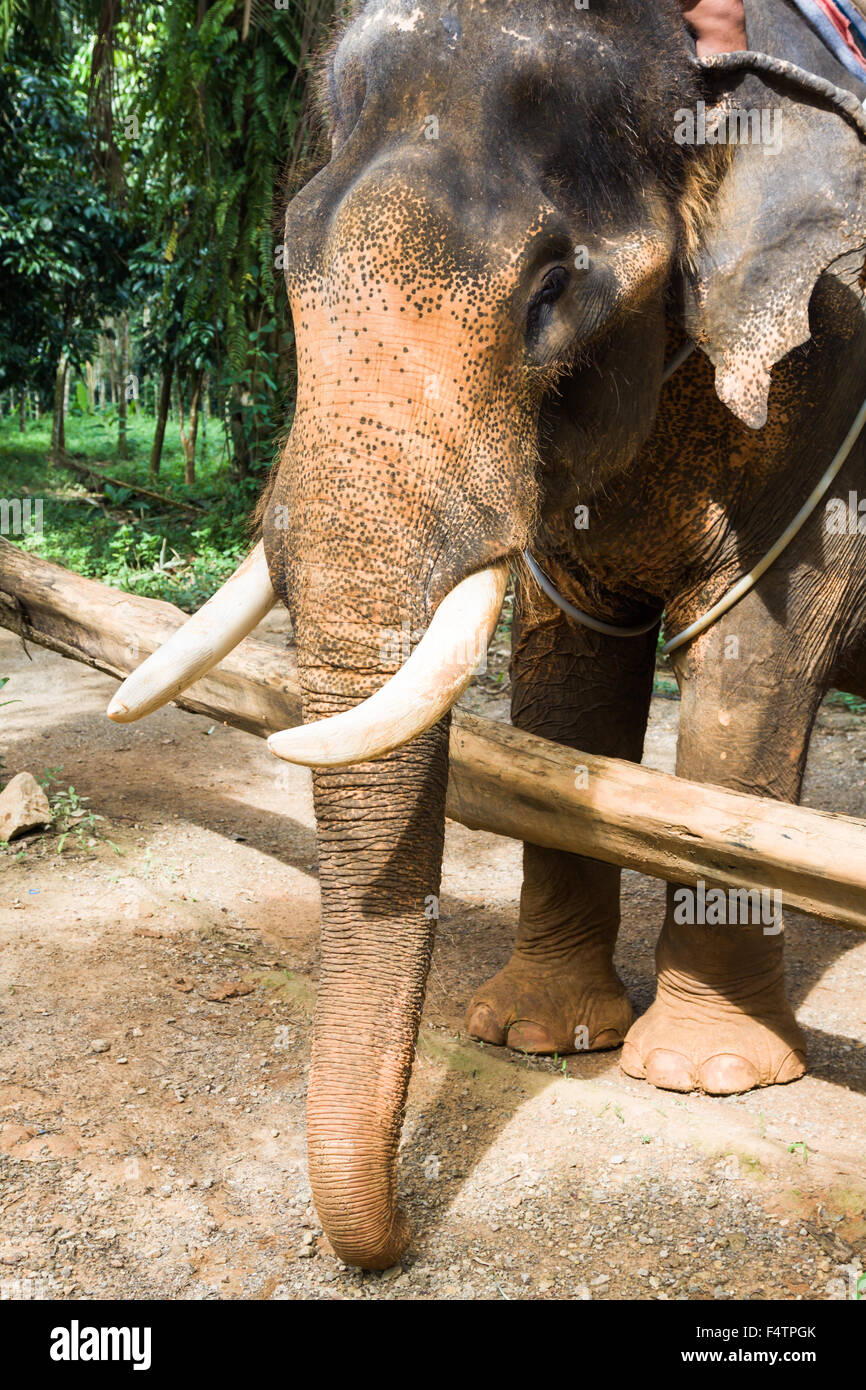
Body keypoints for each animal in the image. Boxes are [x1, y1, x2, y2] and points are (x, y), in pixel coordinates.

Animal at [109, 0, 866, 1273]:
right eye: (290, 265)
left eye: (550, 289)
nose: (397, 1234)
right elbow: (569, 673)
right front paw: (536, 1035)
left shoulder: (832, 381)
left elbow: (753, 660)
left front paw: (703, 1074)